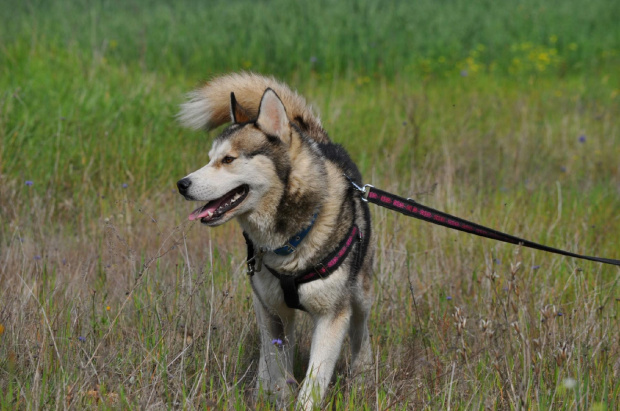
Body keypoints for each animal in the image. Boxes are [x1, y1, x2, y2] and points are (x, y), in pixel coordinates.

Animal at [176, 72, 374, 409]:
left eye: (229, 159)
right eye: (210, 159)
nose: (182, 184)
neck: (290, 238)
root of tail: (318, 139)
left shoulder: (332, 315)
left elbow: (314, 381)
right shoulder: (271, 310)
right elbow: (276, 369)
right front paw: (272, 395)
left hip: (358, 293)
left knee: (360, 328)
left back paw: (362, 374)